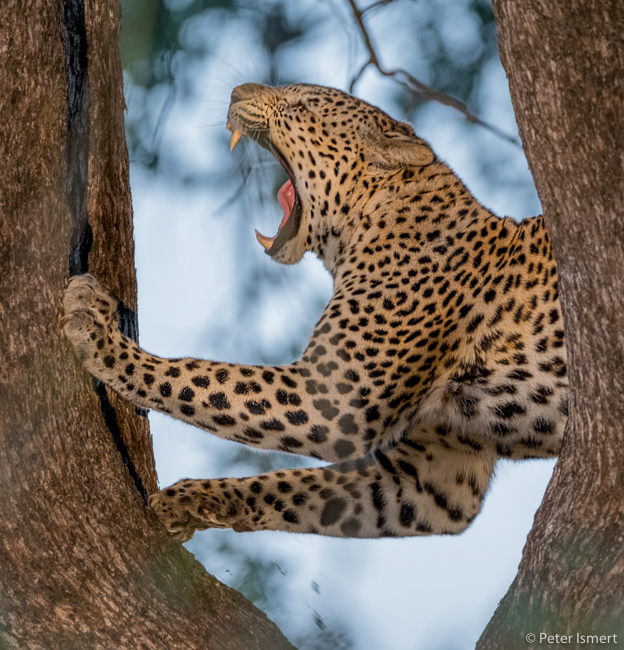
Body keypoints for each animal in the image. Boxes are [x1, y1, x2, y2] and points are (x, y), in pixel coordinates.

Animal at [62, 82, 568, 542]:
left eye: (301, 104)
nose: (235, 91)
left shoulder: (335, 395)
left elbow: (198, 377)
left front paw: (100, 336)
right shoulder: (434, 477)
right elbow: (295, 488)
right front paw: (193, 499)